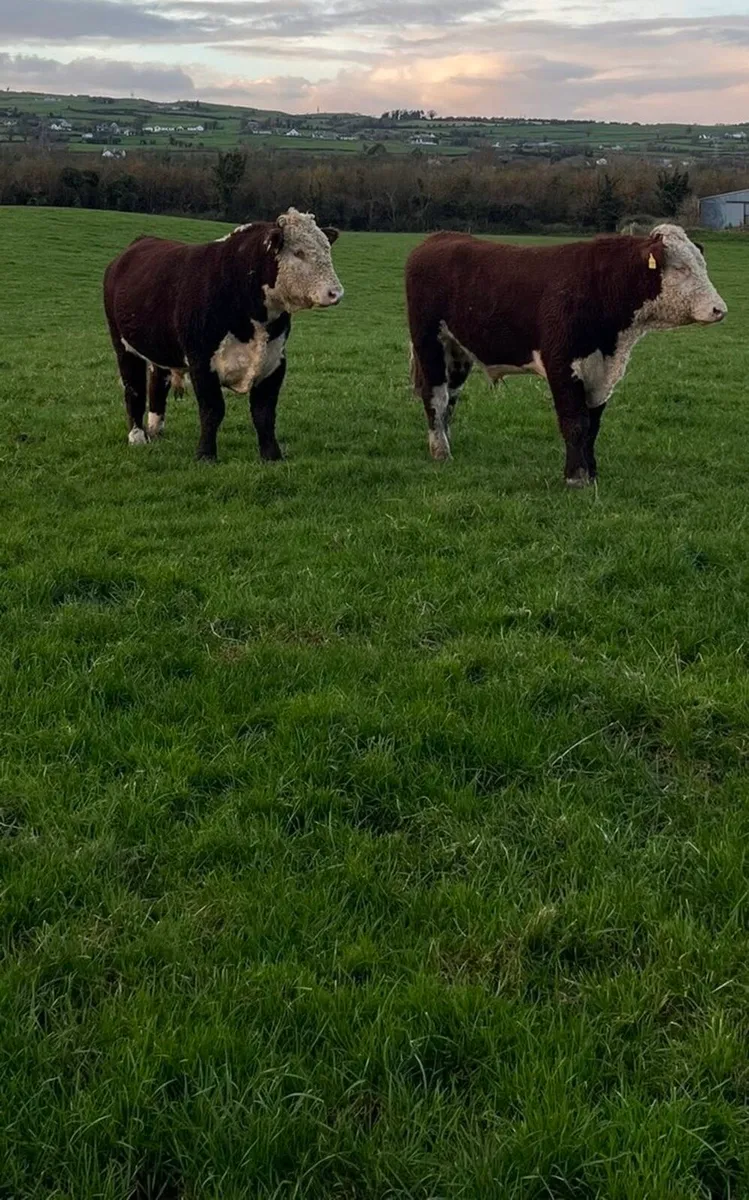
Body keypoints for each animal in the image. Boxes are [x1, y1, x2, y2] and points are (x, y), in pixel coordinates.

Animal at [103, 208, 343, 462]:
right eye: (298, 252)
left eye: (326, 249)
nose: (335, 292)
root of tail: (139, 242)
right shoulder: (201, 362)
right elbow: (212, 411)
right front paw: (205, 455)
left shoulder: (275, 361)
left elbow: (264, 413)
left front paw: (271, 455)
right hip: (123, 347)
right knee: (134, 388)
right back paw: (138, 437)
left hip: (159, 347)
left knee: (157, 383)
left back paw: (155, 431)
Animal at [405, 224, 726, 487]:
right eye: (681, 268)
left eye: (702, 265)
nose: (719, 309)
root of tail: (439, 237)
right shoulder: (562, 364)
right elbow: (574, 422)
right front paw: (575, 477)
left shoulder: (601, 372)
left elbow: (592, 425)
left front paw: (592, 472)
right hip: (429, 342)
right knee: (436, 395)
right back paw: (440, 450)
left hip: (458, 352)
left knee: (451, 397)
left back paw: (445, 440)